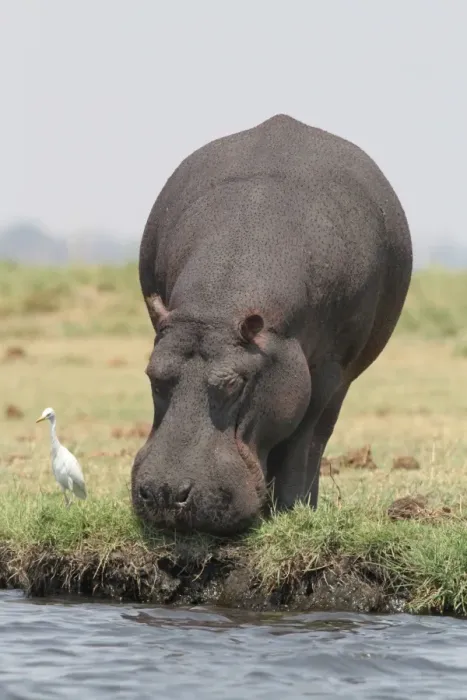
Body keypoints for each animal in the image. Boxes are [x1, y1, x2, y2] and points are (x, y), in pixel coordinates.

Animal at [131, 114, 412, 536]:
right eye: (153, 375)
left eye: (235, 383)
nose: (165, 493)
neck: (218, 307)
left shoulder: (326, 370)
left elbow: (304, 439)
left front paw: (292, 511)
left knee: (318, 435)